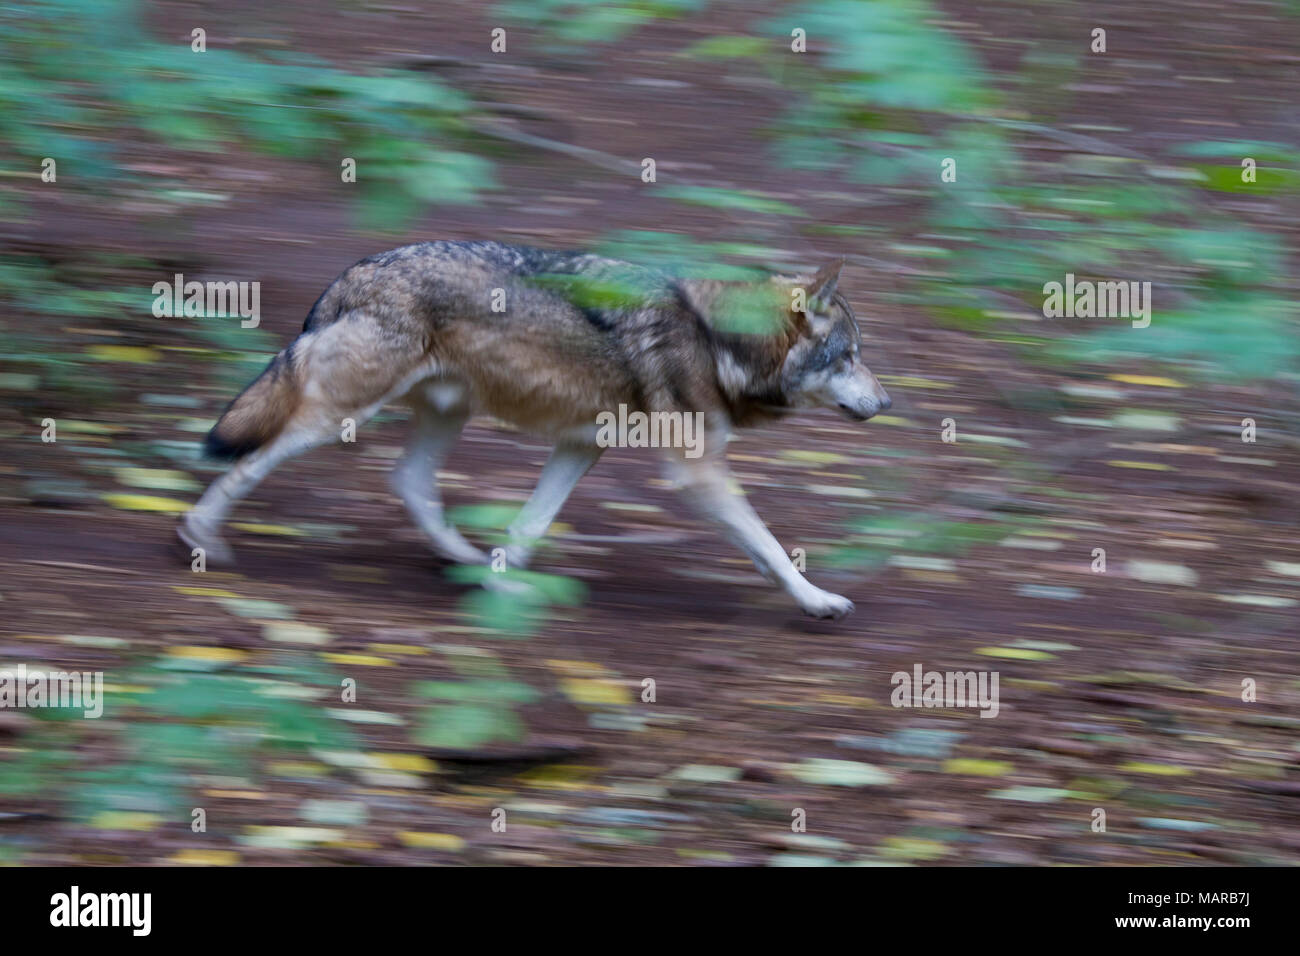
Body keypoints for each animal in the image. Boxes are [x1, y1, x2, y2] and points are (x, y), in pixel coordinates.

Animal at [179, 240, 891, 619]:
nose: (886, 402)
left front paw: (503, 584)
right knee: (248, 463)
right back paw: (200, 537)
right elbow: (769, 545)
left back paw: (466, 559)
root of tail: (352, 273)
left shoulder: (580, 445)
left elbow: (530, 524)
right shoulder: (695, 472)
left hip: (444, 414)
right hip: (338, 418)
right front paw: (817, 599)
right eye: (850, 357)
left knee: (408, 482)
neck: (721, 342)